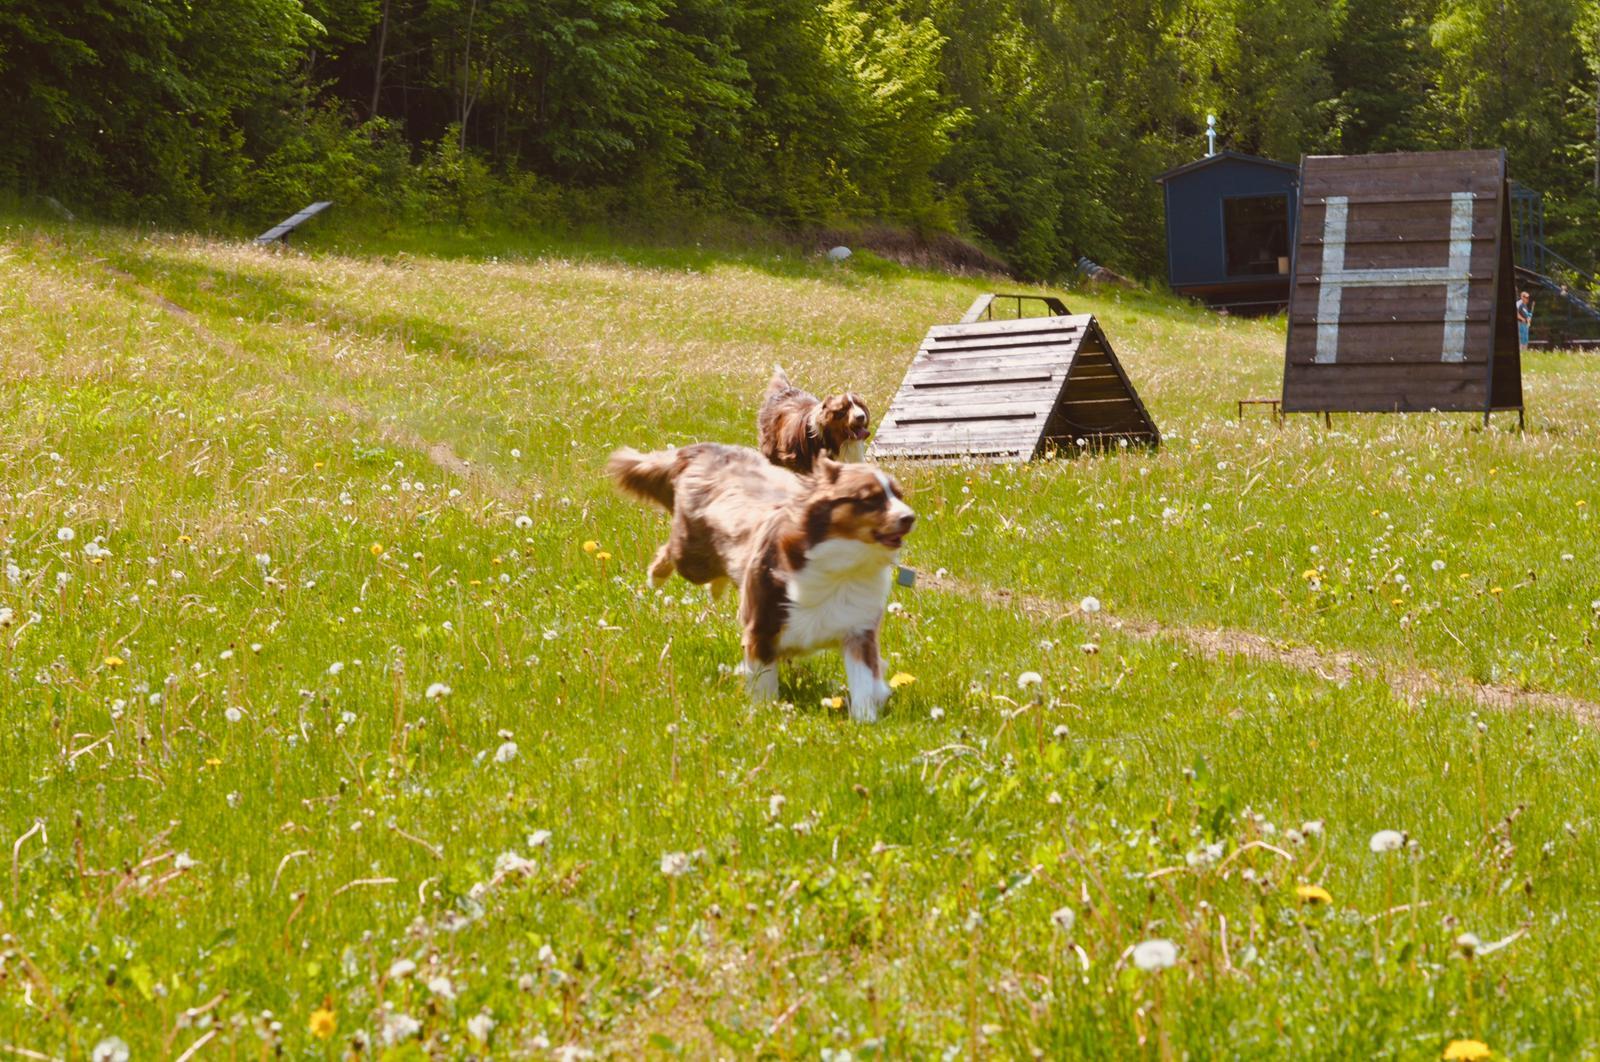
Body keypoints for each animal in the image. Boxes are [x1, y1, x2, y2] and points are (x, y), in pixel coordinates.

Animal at [608, 443, 914, 722]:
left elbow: (864, 681)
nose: (910, 517)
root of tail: (703, 449)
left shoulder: (858, 629)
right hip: (691, 558)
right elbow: (763, 683)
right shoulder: (760, 627)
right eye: (871, 499)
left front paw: (866, 720)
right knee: (671, 550)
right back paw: (656, 575)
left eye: (898, 495)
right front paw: (767, 714)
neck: (842, 569)